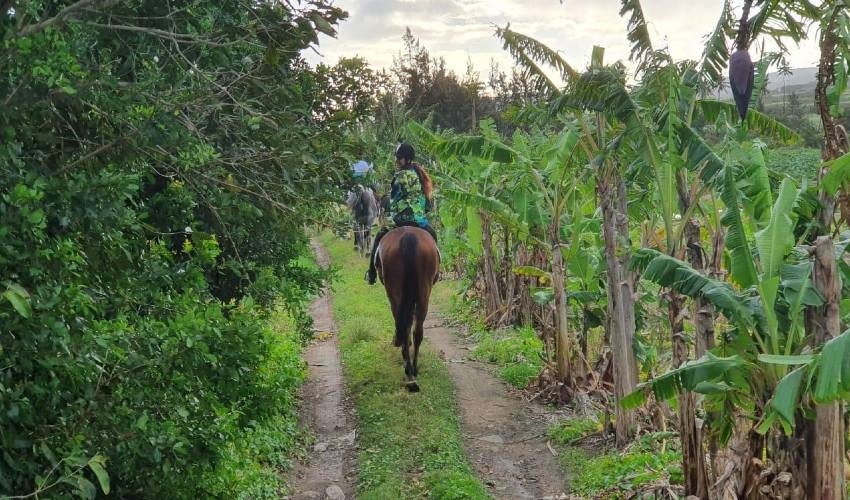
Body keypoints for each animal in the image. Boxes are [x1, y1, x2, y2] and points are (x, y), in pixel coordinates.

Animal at [380, 226, 444, 390]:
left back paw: (408, 369)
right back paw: (413, 369)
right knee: (417, 331)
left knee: (404, 325)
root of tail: (408, 236)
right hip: (423, 293)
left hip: (395, 293)